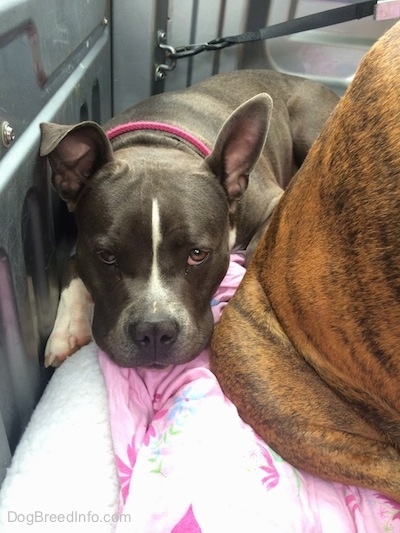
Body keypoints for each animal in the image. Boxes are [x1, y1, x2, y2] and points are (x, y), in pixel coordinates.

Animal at [39, 69, 338, 370]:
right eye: (107, 256)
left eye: (197, 254)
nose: (154, 330)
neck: (154, 144)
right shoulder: (81, 242)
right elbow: (71, 264)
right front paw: (66, 329)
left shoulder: (275, 201)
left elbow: (257, 249)